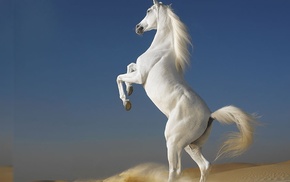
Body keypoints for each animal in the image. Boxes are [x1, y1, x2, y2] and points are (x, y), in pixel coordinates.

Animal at [116, 0, 258, 181]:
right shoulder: (138, 71)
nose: (138, 27)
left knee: (176, 170)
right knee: (205, 166)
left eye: (148, 10)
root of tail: (210, 115)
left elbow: (119, 76)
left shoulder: (141, 76)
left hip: (173, 142)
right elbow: (129, 66)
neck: (161, 50)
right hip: (191, 145)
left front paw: (126, 102)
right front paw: (130, 90)